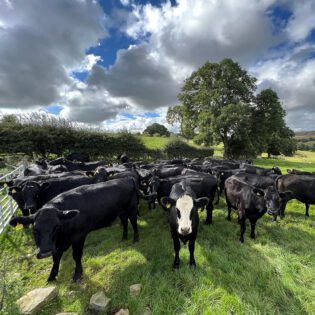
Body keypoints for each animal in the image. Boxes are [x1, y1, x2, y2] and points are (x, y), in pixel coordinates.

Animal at [9, 179, 140, 282]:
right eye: (35, 229)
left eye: (56, 226)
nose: (45, 252)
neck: (62, 236)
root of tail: (127, 179)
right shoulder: (57, 245)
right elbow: (56, 258)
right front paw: (52, 275)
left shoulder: (79, 236)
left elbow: (76, 256)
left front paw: (77, 274)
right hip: (122, 212)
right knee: (125, 222)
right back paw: (124, 238)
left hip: (132, 209)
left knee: (133, 223)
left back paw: (136, 239)